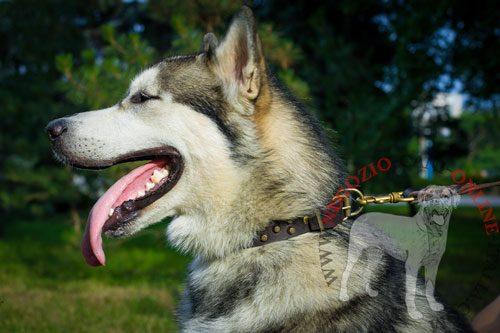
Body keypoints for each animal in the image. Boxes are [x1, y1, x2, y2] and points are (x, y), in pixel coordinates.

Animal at [340, 185, 460, 318]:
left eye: (446, 196)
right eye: (428, 196)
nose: (435, 203)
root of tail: (360, 216)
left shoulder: (433, 265)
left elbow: (430, 287)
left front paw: (433, 306)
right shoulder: (412, 265)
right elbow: (411, 290)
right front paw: (413, 312)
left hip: (376, 254)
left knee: (366, 273)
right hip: (355, 251)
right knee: (346, 272)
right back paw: (344, 296)